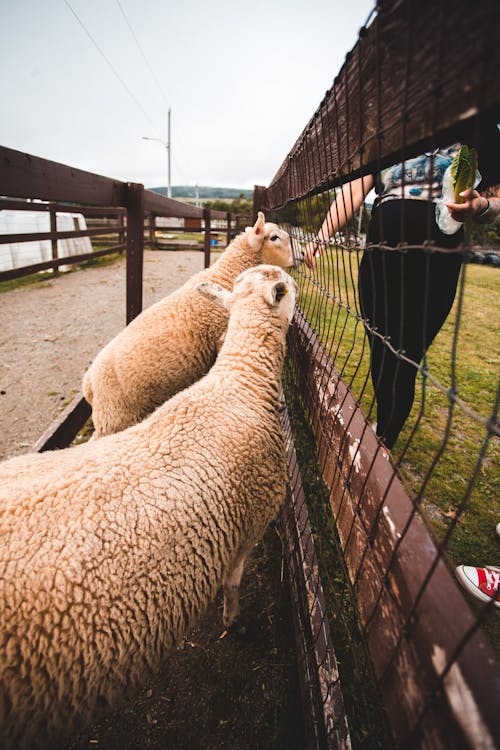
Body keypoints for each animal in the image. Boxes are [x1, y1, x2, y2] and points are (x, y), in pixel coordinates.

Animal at [81, 209, 292, 438]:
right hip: (113, 417)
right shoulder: (222, 336)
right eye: (274, 237)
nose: (297, 255)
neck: (225, 274)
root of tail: (88, 383)